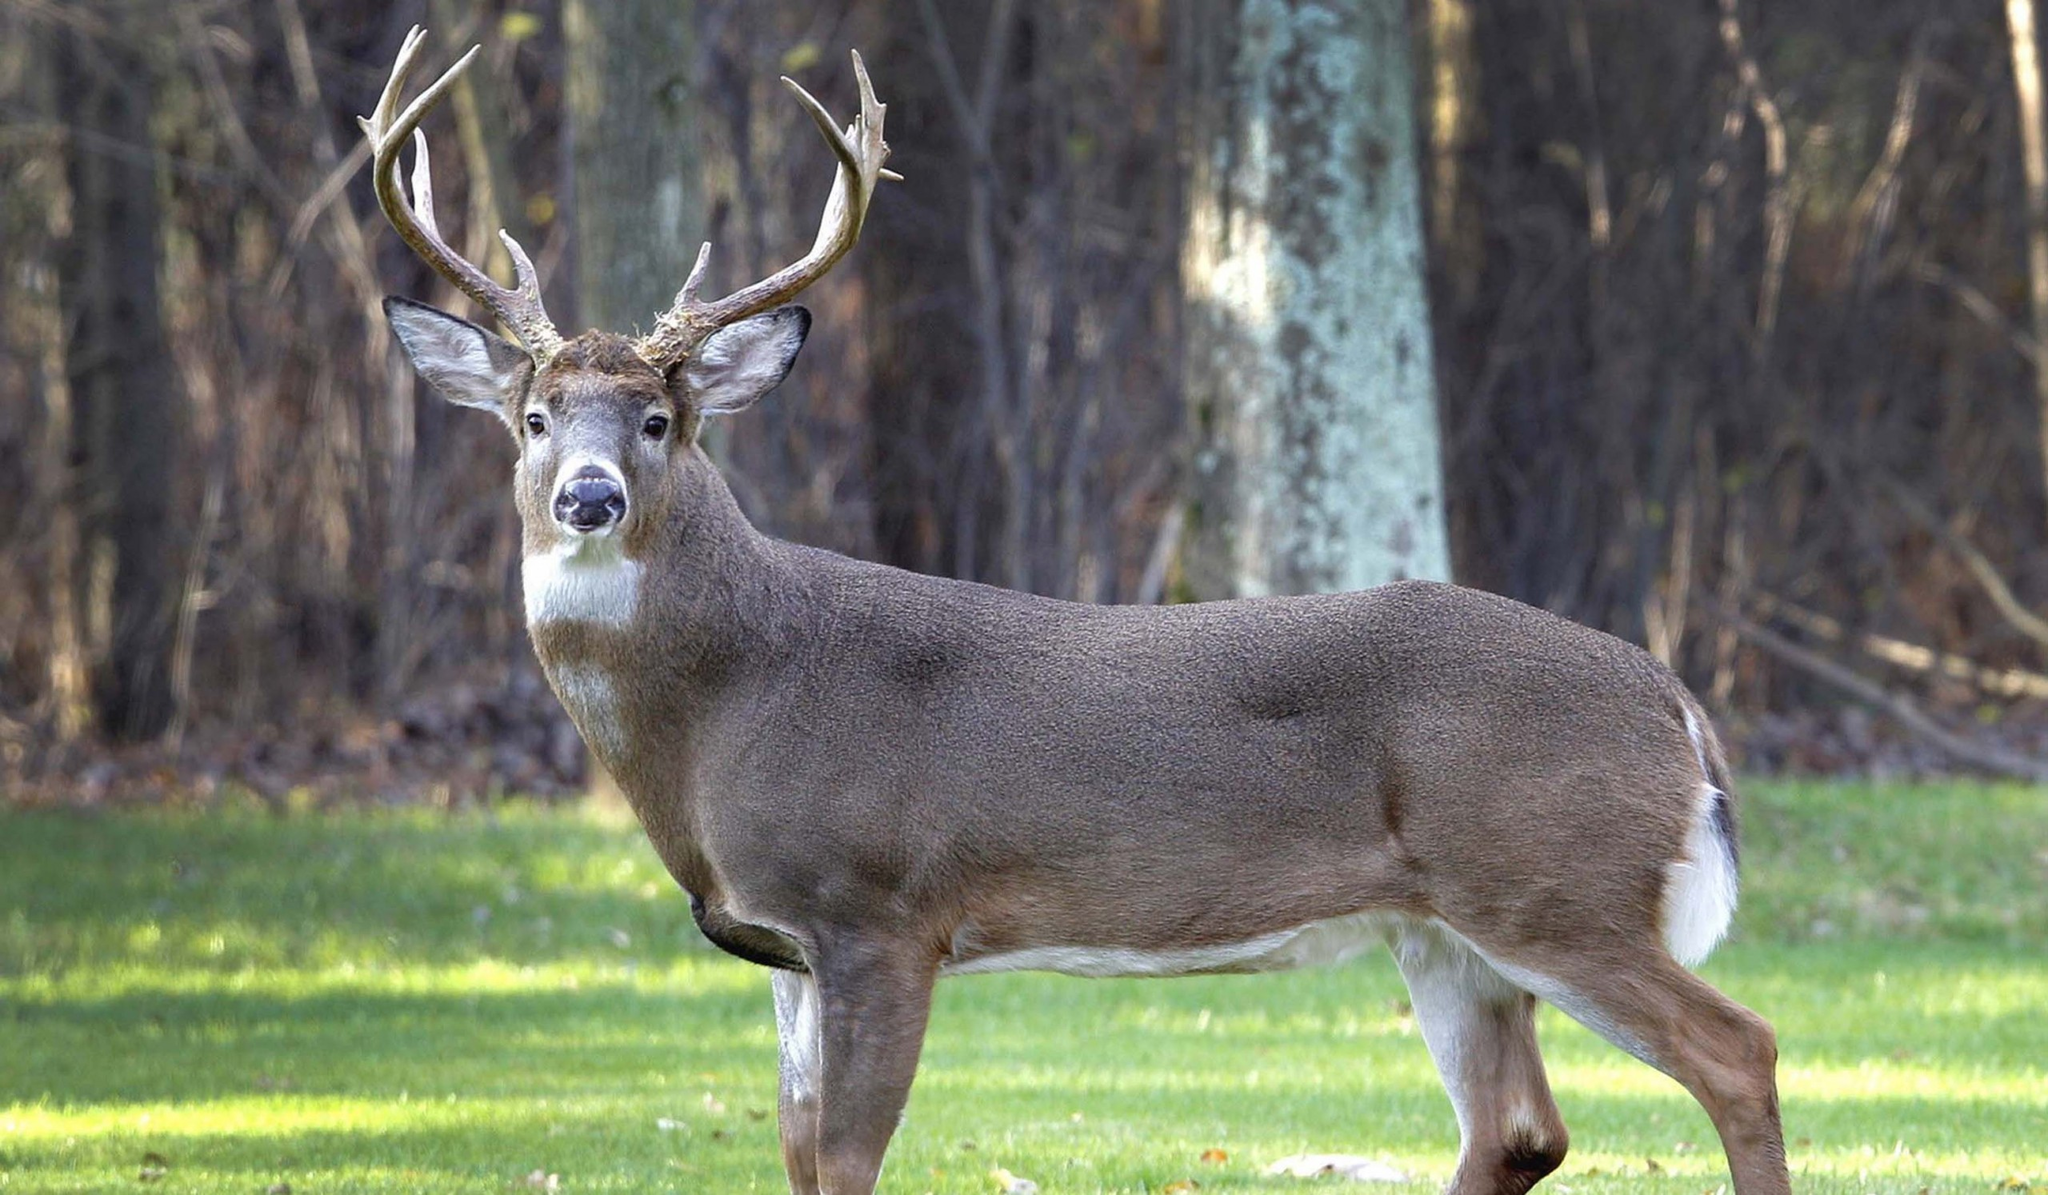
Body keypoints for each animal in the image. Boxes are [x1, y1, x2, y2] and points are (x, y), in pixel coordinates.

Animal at [368, 32, 1794, 1195]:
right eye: (533, 417)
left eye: (661, 420)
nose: (589, 495)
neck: (728, 701)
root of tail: (1676, 705)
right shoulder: (785, 947)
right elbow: (794, 1152)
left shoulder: (882, 907)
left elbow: (846, 1158)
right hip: (1444, 926)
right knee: (1518, 1129)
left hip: (1552, 881)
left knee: (1738, 1048)